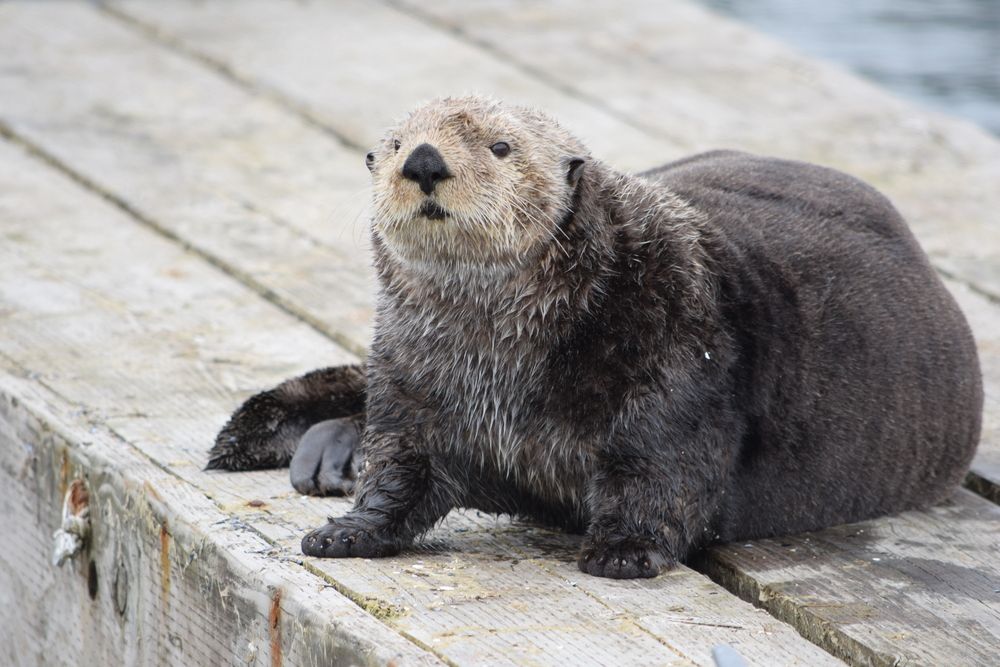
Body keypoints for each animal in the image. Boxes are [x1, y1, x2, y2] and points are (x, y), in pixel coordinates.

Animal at [207, 96, 982, 579]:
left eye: (501, 146)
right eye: (394, 145)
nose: (423, 161)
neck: (494, 345)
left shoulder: (677, 358)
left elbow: (659, 471)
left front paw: (624, 552)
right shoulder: (408, 373)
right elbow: (402, 468)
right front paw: (346, 531)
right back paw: (328, 452)